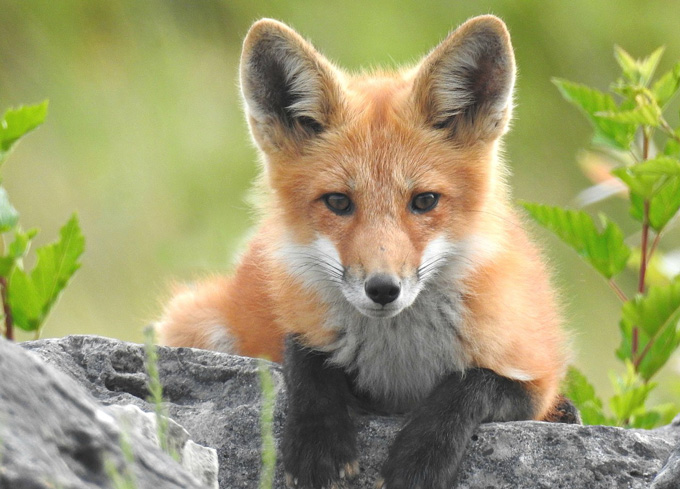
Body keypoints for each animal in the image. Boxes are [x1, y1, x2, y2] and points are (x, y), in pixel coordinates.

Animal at [157, 15, 576, 488]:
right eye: (339, 202)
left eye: (424, 201)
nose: (382, 289)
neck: (400, 362)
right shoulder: (304, 336)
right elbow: (307, 360)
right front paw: (318, 441)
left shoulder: (533, 374)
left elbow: (468, 386)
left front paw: (422, 457)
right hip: (192, 321)